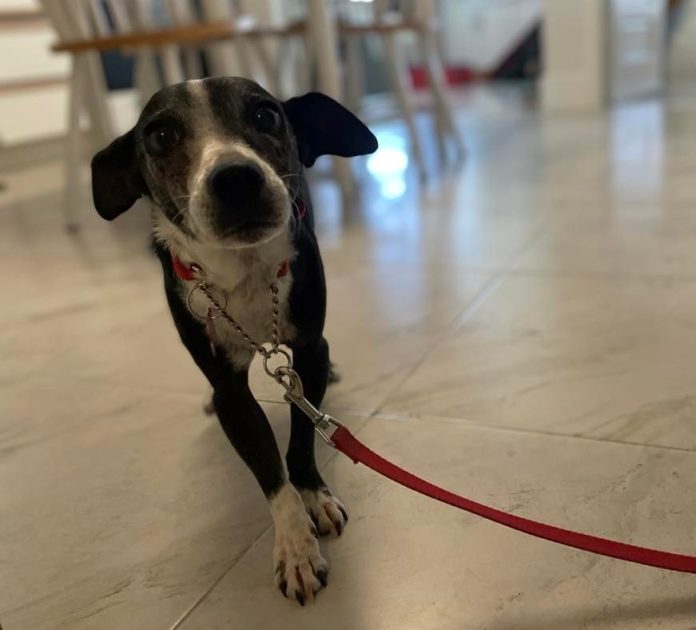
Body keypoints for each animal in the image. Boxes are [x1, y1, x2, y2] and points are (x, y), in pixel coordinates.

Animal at [91, 79, 380, 608]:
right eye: (160, 135)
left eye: (266, 115)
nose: (235, 178)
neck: (244, 271)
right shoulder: (231, 393)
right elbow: (267, 467)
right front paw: (295, 547)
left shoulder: (310, 352)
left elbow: (302, 436)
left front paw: (313, 495)